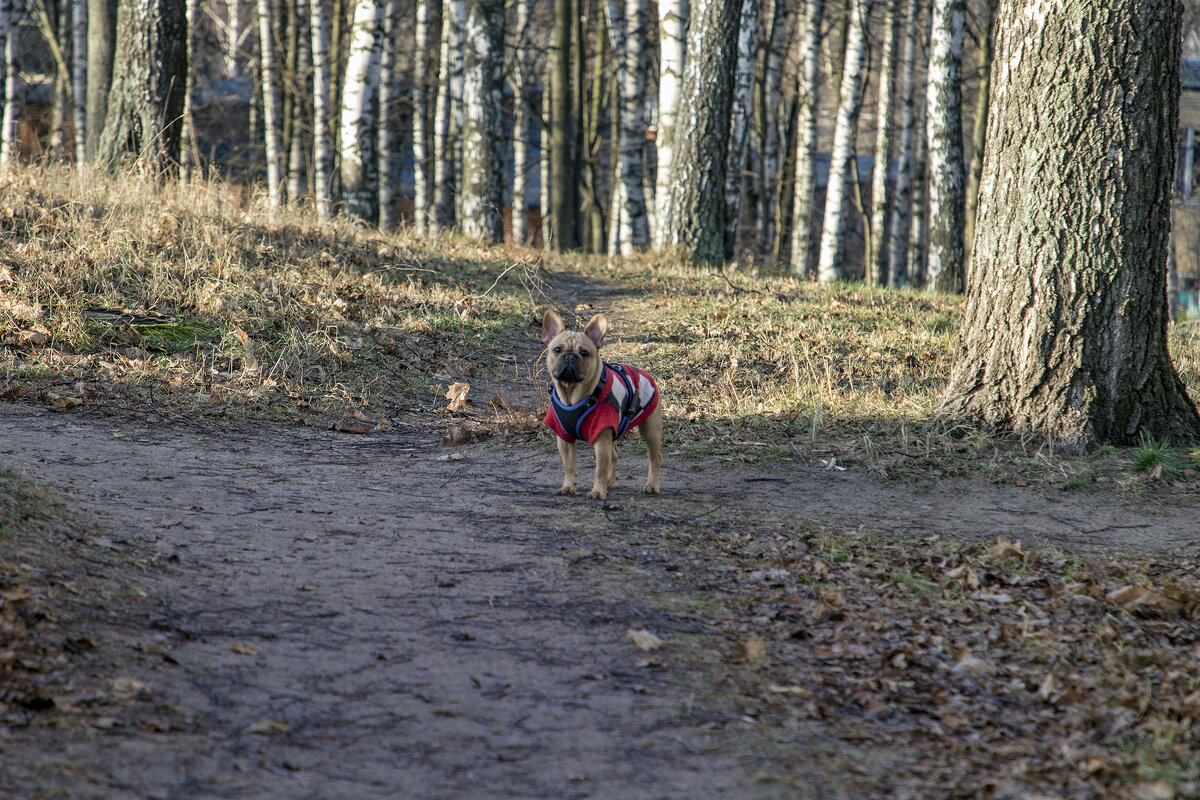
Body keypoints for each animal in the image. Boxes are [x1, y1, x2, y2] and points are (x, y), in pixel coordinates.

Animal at [540, 309, 662, 496]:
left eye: (584, 353)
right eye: (557, 349)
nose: (570, 357)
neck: (572, 395)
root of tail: (646, 373)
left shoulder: (601, 438)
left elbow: (600, 468)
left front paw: (598, 492)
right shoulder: (564, 438)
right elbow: (569, 465)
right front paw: (568, 486)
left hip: (651, 430)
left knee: (654, 458)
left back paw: (652, 485)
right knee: (615, 455)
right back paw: (610, 483)